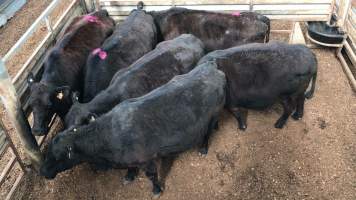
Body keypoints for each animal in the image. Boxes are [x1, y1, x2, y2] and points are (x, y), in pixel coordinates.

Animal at [39, 62, 225, 197]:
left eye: (58, 156)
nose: (43, 171)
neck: (109, 135)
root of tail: (211, 66)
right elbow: (131, 169)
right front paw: (129, 176)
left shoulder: (147, 159)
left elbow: (151, 175)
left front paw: (156, 190)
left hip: (213, 115)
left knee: (207, 133)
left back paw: (203, 148)